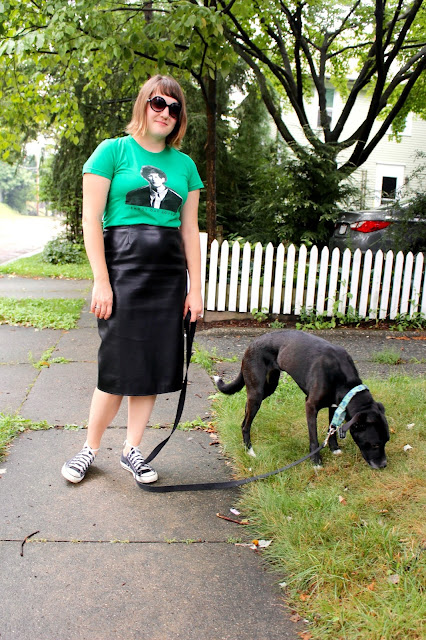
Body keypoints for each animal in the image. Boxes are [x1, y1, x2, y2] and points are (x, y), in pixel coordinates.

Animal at [214, 330, 389, 469]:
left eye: (387, 441)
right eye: (375, 444)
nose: (383, 465)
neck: (343, 379)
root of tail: (251, 344)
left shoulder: (335, 406)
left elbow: (331, 430)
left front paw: (334, 449)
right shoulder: (310, 406)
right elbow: (314, 438)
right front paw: (316, 462)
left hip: (268, 388)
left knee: (246, 411)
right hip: (257, 391)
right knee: (245, 425)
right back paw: (249, 450)